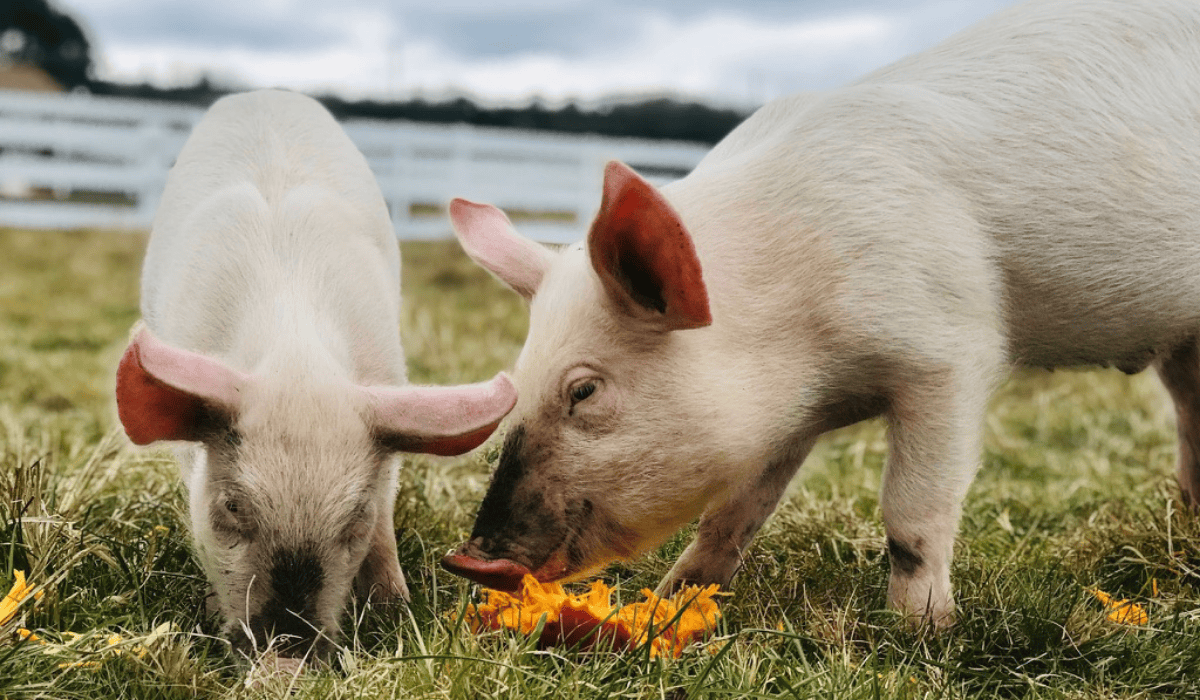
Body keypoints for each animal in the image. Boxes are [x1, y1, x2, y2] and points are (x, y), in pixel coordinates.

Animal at [114, 89, 516, 657]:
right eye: (231, 507)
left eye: (353, 519)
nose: (286, 661)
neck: (295, 358)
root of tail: (265, 93)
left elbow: (386, 520)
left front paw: (396, 610)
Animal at [440, 0, 1200, 627]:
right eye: (518, 382)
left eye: (585, 390)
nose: (471, 558)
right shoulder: (783, 419)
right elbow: (732, 514)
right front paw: (674, 601)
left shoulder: (951, 350)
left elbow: (913, 511)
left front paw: (920, 633)